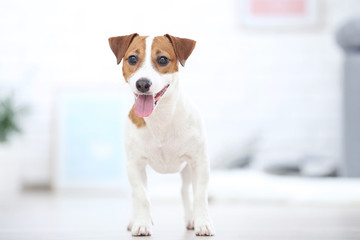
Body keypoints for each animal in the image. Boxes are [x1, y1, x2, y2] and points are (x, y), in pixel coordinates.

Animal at [107, 33, 214, 236]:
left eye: (163, 59)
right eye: (132, 59)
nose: (142, 83)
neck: (161, 118)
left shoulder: (199, 163)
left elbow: (200, 195)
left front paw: (203, 223)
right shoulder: (135, 165)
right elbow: (142, 196)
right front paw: (142, 224)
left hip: (187, 170)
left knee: (185, 191)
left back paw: (191, 219)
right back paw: (136, 219)